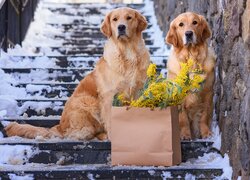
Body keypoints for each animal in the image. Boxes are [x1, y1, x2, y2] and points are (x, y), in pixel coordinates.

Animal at [4, 7, 149, 141]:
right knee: (81, 133)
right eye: (115, 19)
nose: (121, 27)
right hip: (86, 101)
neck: (128, 54)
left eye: (129, 18)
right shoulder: (109, 95)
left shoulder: (137, 91)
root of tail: (60, 127)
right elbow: (110, 120)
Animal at [166, 11, 215, 140]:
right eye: (181, 24)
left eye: (195, 22)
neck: (191, 58)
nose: (188, 33)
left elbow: (205, 115)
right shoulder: (177, 95)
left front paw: (206, 133)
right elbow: (183, 118)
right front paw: (185, 134)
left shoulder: (208, 92)